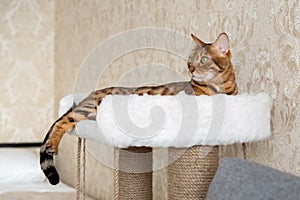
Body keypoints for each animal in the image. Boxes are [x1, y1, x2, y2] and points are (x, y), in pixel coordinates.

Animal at [39, 32, 238, 184]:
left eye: (203, 59)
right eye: (190, 60)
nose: (191, 69)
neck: (220, 88)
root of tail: (90, 93)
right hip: (90, 108)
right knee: (62, 121)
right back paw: (52, 144)